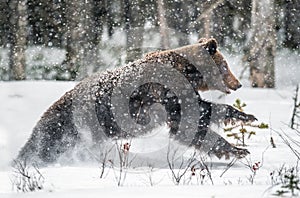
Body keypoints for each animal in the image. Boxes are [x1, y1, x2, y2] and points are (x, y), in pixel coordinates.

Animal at [16, 38, 255, 165]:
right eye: (225, 65)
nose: (238, 84)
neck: (187, 72)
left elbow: (199, 112)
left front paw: (245, 118)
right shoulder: (165, 93)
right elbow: (187, 123)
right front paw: (237, 148)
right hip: (64, 129)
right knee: (43, 146)